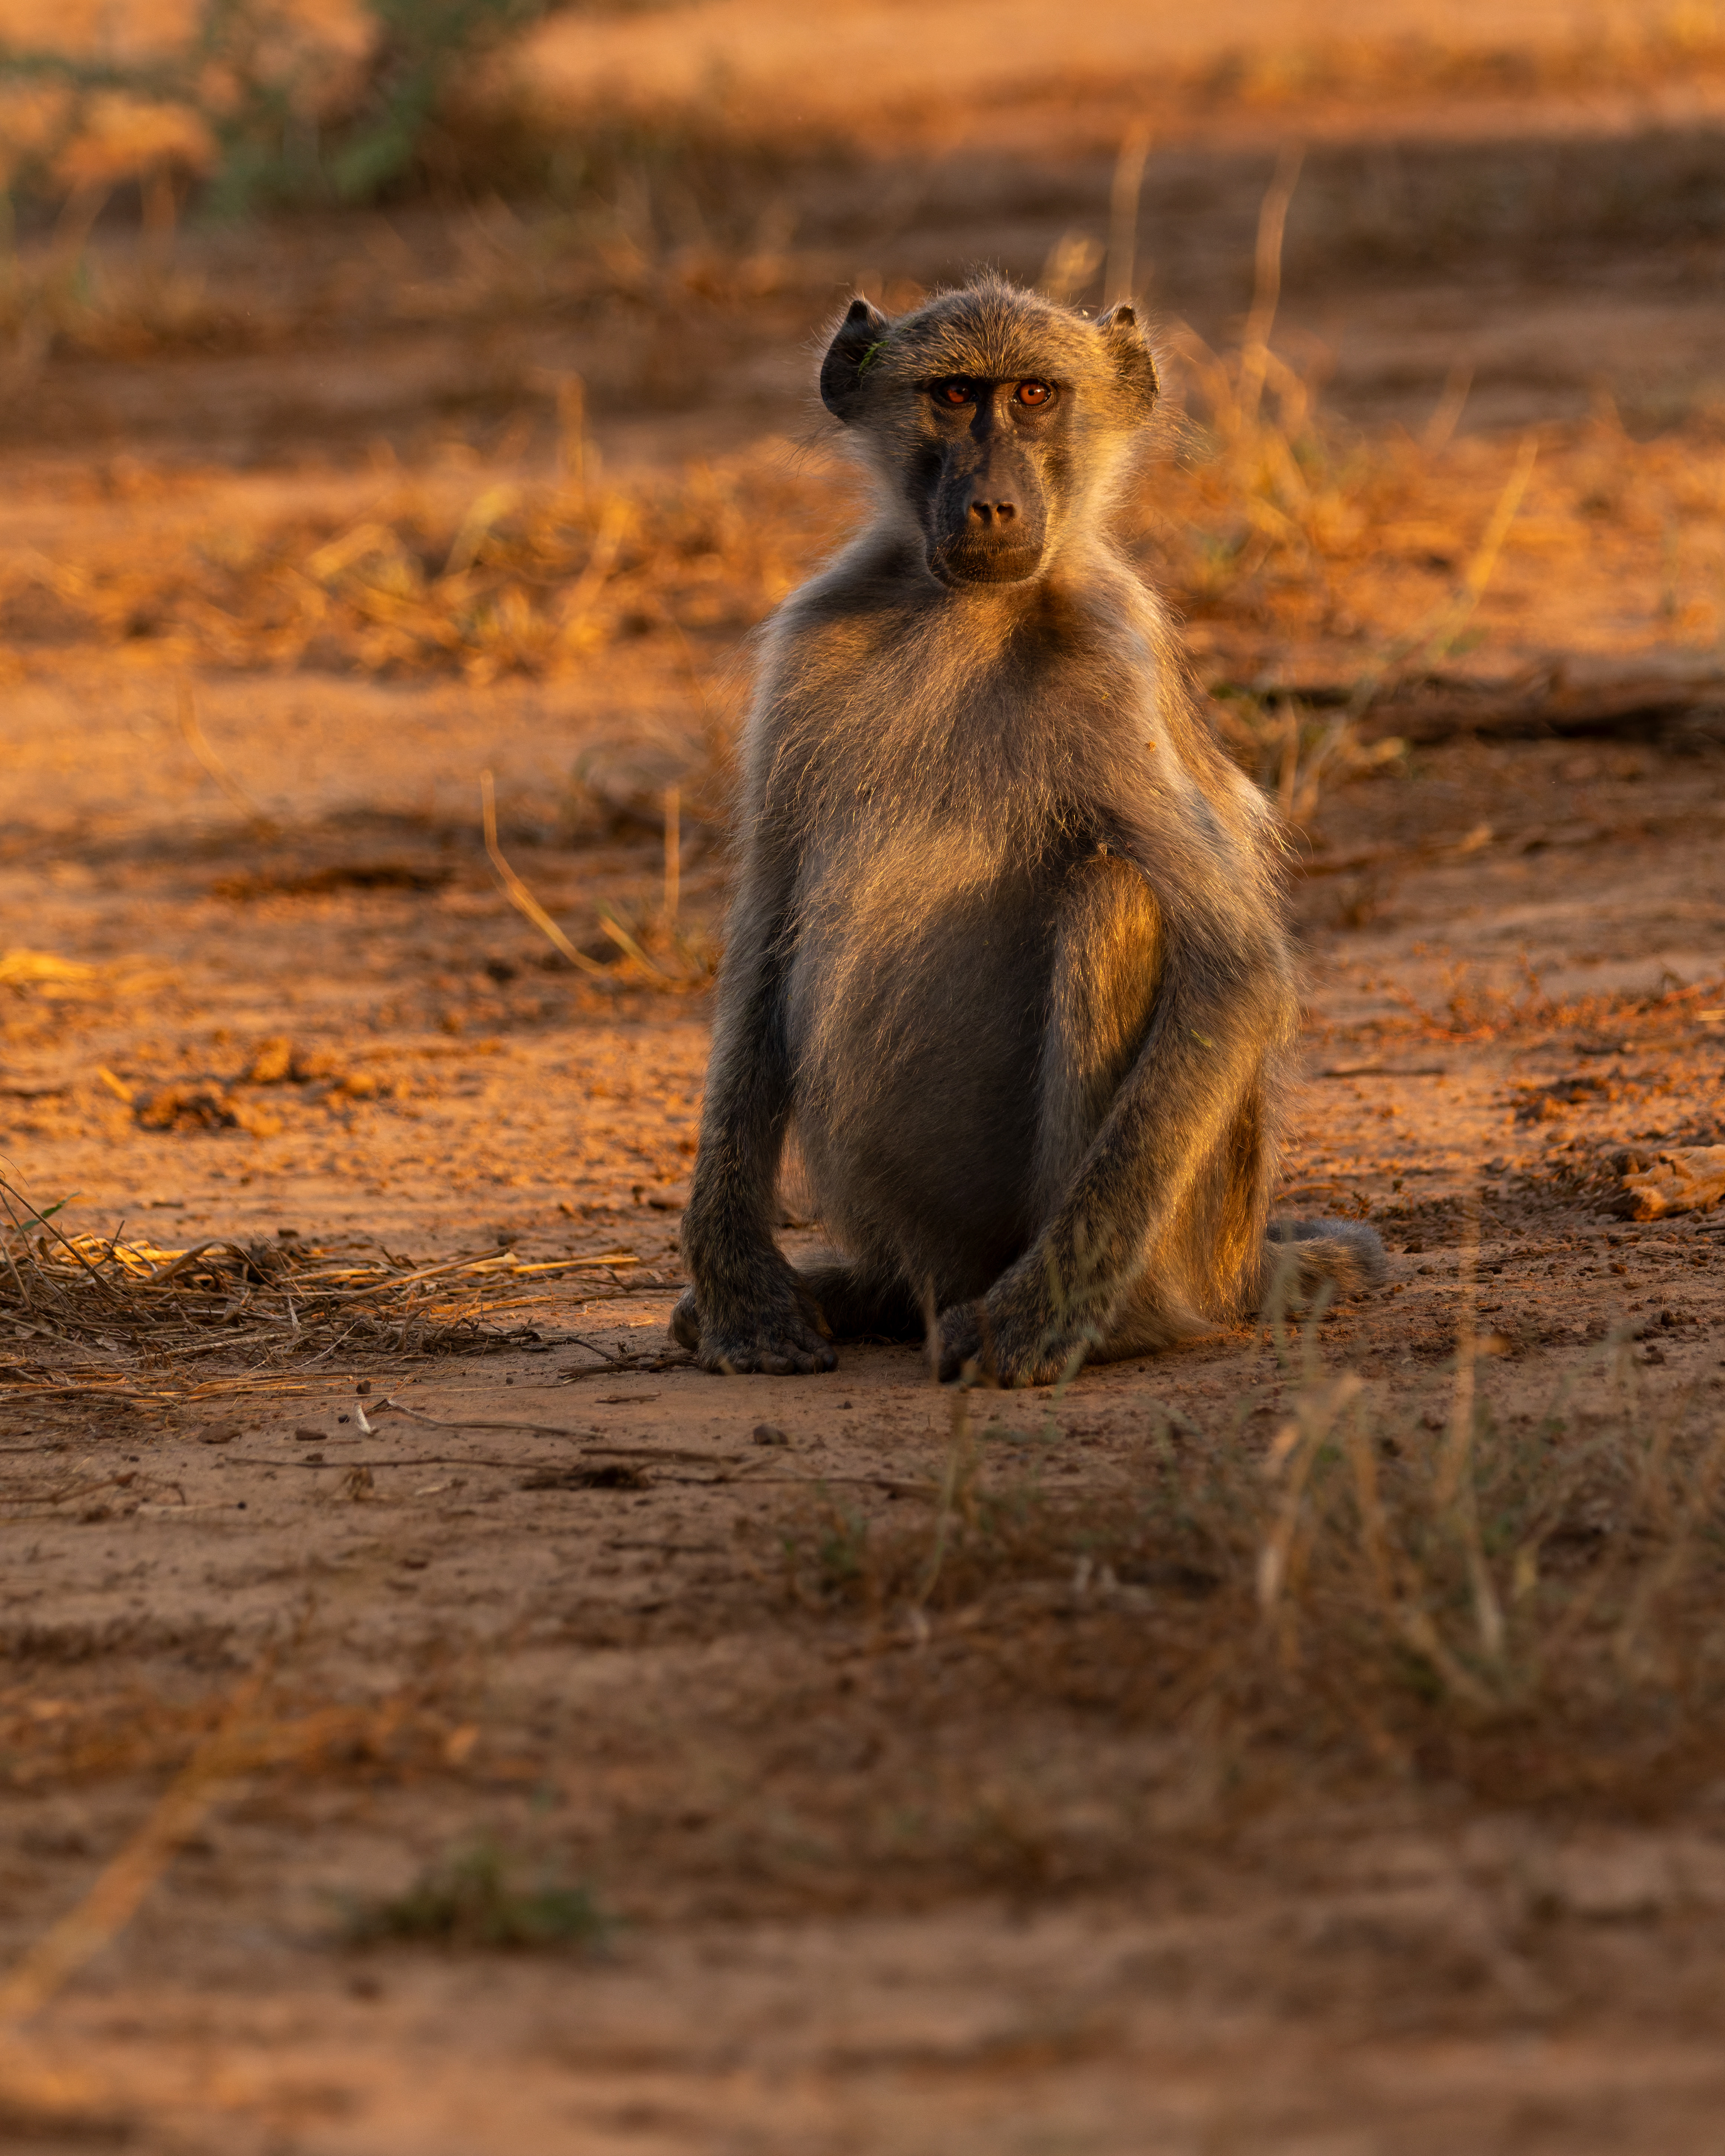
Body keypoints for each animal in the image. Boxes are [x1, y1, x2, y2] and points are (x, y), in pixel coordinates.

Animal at [669, 273, 1383, 1384]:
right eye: (956, 395)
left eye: (1037, 396)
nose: (992, 505)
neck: (967, 609)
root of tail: (1240, 1264)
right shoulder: (808, 645)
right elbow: (767, 932)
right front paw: (738, 1286)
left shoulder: (1115, 659)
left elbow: (1236, 968)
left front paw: (1033, 1322)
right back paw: (855, 1293)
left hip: (1189, 1240)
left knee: (1116, 893)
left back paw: (1109, 1320)